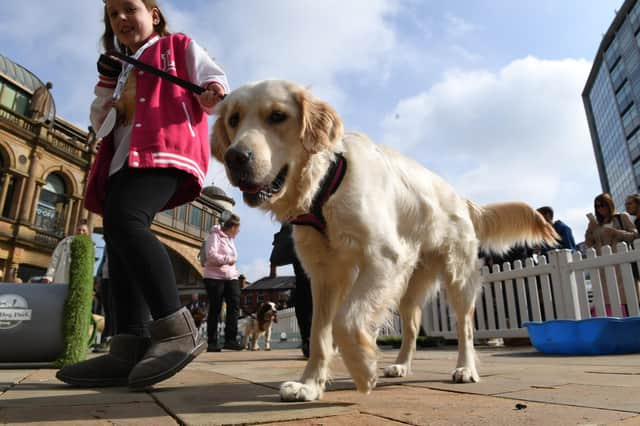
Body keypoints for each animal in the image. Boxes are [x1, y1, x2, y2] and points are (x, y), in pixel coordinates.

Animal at [211, 80, 560, 402]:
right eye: (234, 119)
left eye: (277, 116)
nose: (234, 157)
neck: (326, 188)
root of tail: (462, 199)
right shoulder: (323, 276)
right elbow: (320, 333)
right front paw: (310, 385)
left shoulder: (384, 258)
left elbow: (346, 321)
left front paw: (364, 370)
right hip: (409, 286)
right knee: (413, 325)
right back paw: (401, 365)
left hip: (457, 277)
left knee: (465, 327)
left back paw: (465, 368)